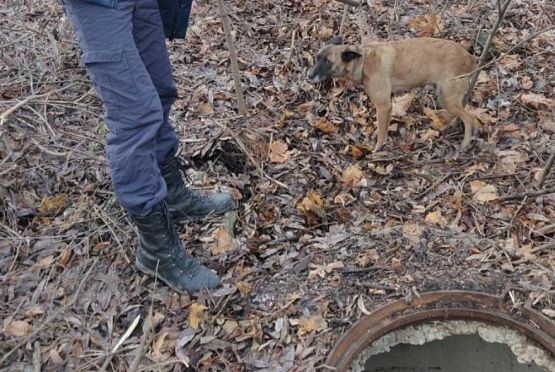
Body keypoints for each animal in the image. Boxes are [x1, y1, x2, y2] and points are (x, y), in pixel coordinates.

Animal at [308, 37, 478, 152]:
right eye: (317, 58)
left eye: (328, 62)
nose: (308, 75)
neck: (363, 61)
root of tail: (470, 57)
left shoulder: (384, 106)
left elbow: (381, 133)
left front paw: (377, 150)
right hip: (445, 97)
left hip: (447, 97)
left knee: (469, 118)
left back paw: (465, 144)